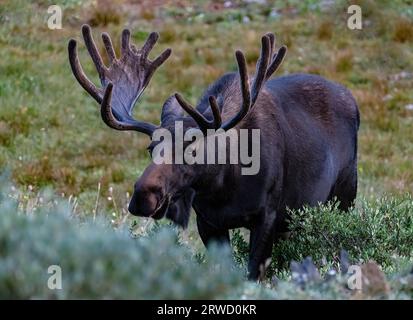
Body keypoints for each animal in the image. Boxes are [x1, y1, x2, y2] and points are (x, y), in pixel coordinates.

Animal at [67, 25, 358, 280]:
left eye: (192, 148)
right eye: (151, 147)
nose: (142, 197)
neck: (224, 186)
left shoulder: (268, 216)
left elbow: (253, 275)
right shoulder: (208, 222)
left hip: (345, 196)